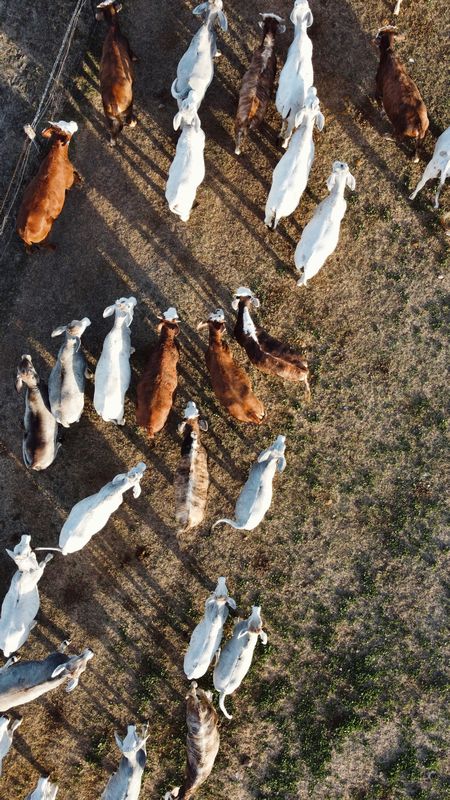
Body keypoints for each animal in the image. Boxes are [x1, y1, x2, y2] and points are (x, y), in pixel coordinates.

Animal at [16, 121, 80, 252]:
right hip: (46, 230)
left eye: (62, 121)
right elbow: (74, 180)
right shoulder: (69, 181)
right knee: (43, 243)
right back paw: (53, 246)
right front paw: (80, 180)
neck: (56, 155)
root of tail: (25, 232)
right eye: (67, 129)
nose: (74, 122)